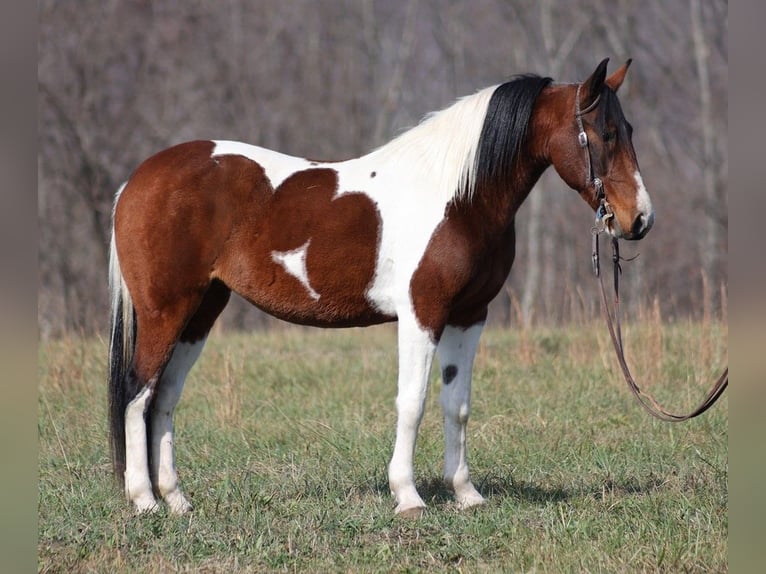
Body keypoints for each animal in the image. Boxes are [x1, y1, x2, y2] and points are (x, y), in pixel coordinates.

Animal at [109, 57, 656, 516]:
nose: (640, 220)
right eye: (604, 133)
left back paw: (177, 500)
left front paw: (466, 494)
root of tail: (137, 180)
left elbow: (456, 405)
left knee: (165, 398)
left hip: (200, 313)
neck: (458, 198)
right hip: (164, 312)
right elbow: (411, 403)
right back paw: (144, 501)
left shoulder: (469, 316)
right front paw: (408, 497)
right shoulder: (421, 314)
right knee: (137, 394)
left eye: (628, 129)